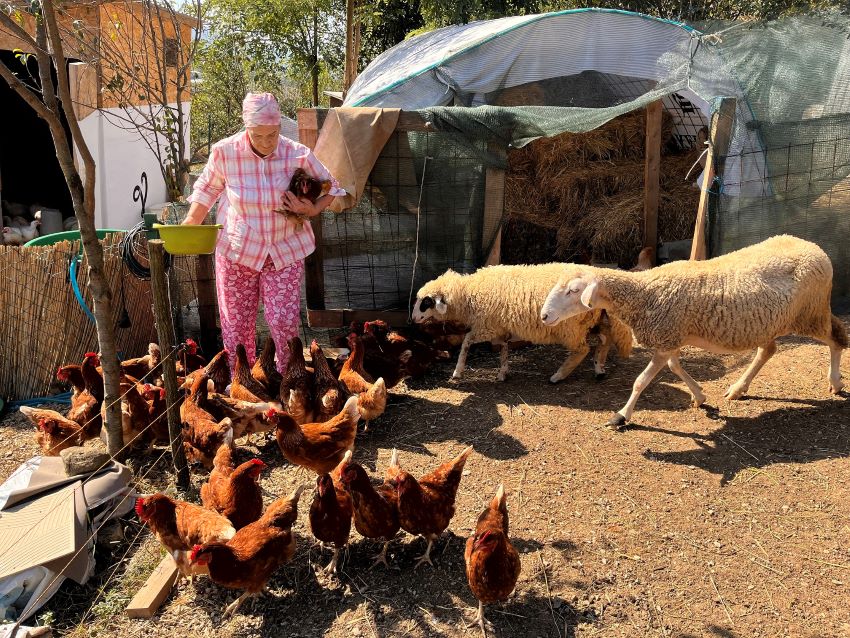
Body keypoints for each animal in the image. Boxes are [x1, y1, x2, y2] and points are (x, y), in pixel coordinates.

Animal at [408, 264, 632, 384]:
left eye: (425, 303)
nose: (413, 319)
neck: (469, 293)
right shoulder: (499, 327)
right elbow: (504, 349)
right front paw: (502, 373)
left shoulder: (487, 326)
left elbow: (466, 342)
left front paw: (457, 372)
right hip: (592, 321)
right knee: (605, 340)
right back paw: (599, 369)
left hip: (570, 327)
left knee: (582, 349)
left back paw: (558, 376)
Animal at [540, 232, 844, 428]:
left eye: (573, 290)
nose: (544, 316)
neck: (645, 292)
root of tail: (816, 248)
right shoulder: (670, 338)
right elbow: (675, 367)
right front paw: (699, 396)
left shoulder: (666, 338)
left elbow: (641, 381)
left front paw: (622, 415)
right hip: (769, 323)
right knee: (768, 350)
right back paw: (738, 388)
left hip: (811, 312)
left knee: (836, 339)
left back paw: (836, 381)